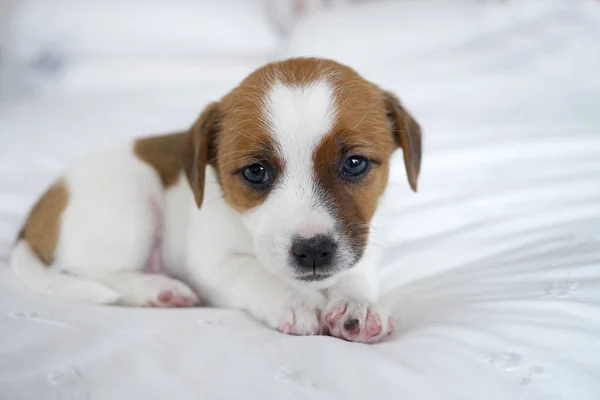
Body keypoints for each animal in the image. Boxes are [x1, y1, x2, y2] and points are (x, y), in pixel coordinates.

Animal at [10, 57, 422, 344]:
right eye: (255, 172)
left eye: (354, 163)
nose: (313, 251)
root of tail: (34, 215)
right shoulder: (212, 262)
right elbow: (256, 273)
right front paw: (296, 300)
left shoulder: (362, 245)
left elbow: (353, 275)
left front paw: (357, 306)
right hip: (131, 199)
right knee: (82, 272)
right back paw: (156, 289)